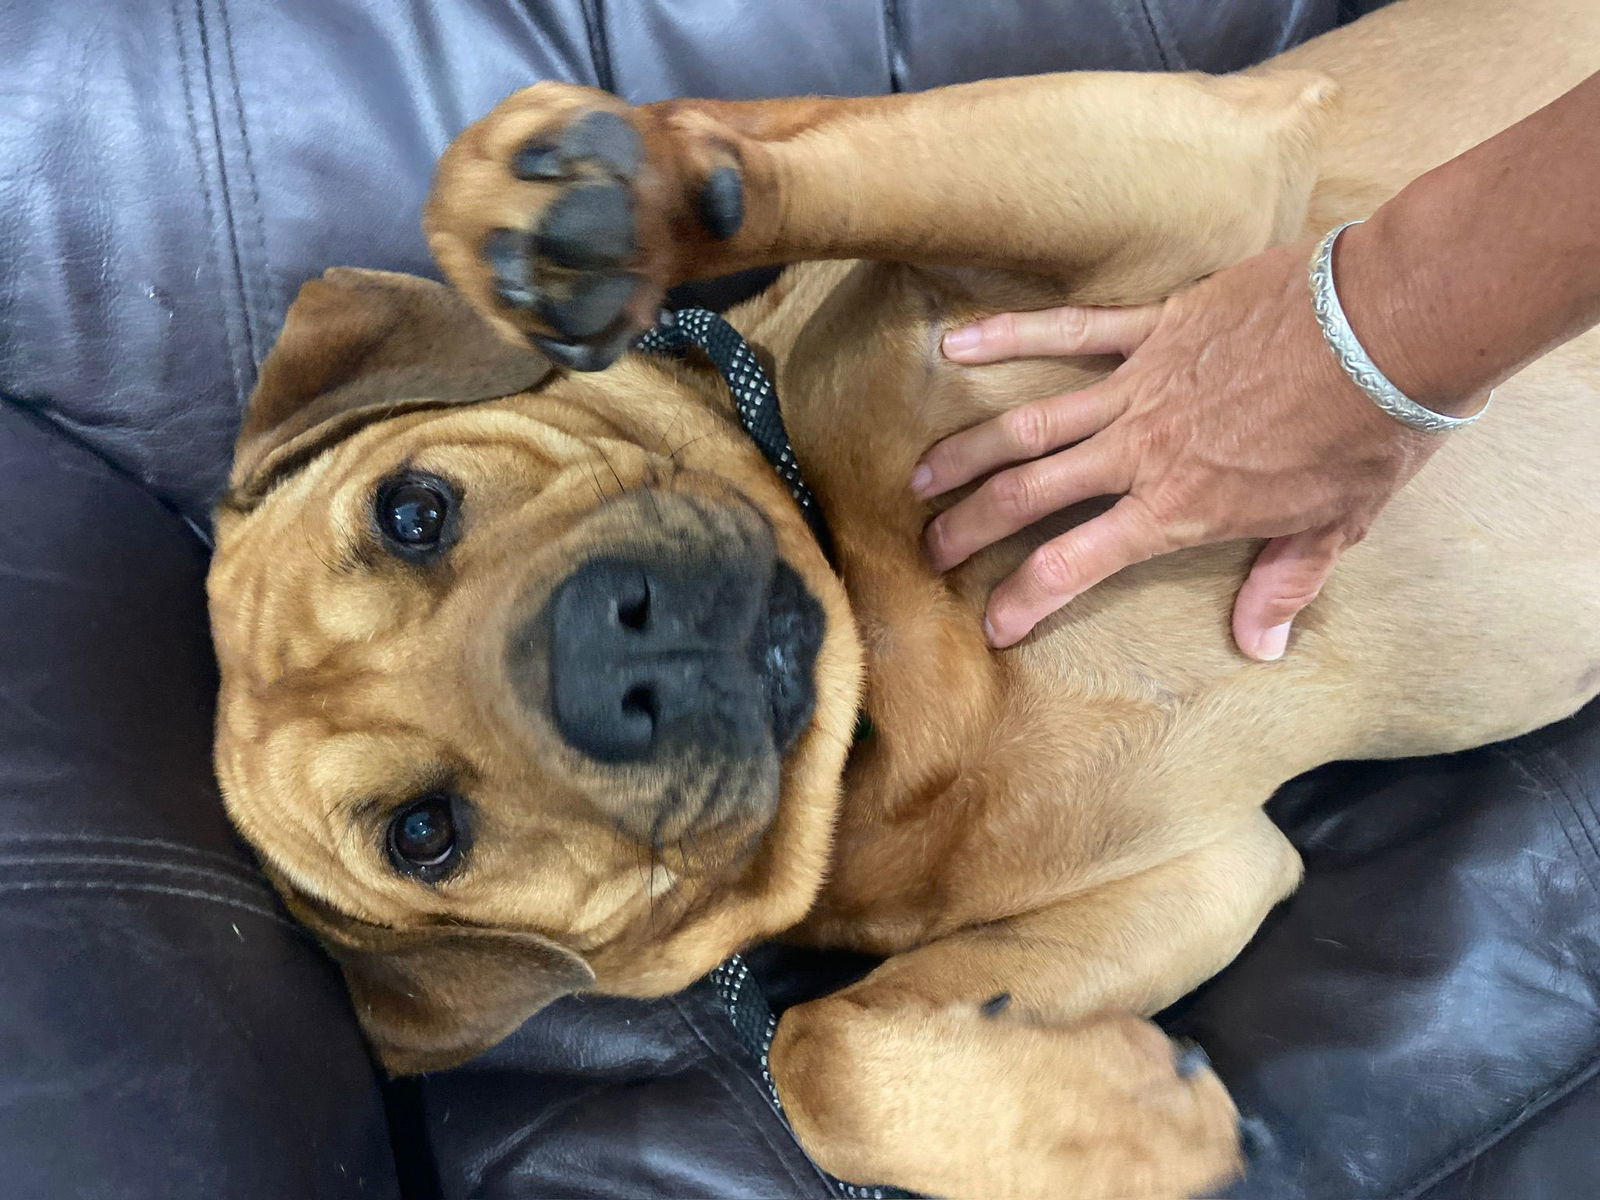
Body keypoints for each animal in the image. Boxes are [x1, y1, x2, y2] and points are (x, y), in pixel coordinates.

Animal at [206, 4, 1600, 1196]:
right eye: (423, 835)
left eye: (413, 511)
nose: (607, 663)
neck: (885, 675)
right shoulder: (1201, 872)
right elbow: (818, 1058)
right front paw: (1116, 1122)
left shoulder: (1185, 159)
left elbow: (846, 145)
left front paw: (634, 201)